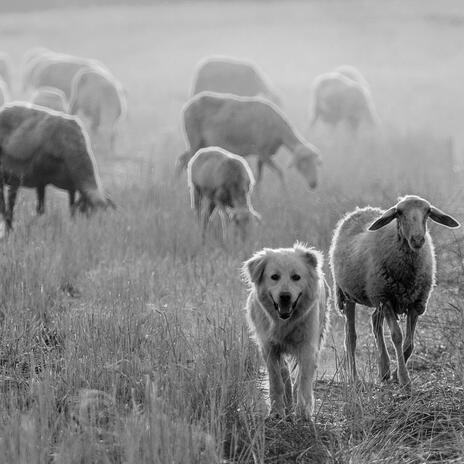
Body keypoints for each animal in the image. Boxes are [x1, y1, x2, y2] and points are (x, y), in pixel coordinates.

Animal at [176, 91, 320, 189]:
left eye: (315, 163)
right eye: (302, 164)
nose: (313, 184)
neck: (278, 131)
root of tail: (186, 108)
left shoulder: (262, 154)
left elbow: (259, 177)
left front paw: (259, 198)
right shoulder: (263, 150)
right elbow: (280, 172)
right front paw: (286, 196)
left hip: (201, 143)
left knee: (182, 159)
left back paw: (174, 188)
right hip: (194, 138)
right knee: (188, 162)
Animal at [243, 243, 330, 420]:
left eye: (296, 277)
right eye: (274, 276)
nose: (285, 296)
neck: (285, 322)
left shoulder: (308, 346)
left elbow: (304, 379)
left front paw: (304, 411)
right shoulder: (268, 347)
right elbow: (276, 380)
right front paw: (276, 411)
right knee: (284, 370)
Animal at [330, 194, 460, 386]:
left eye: (428, 211)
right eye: (399, 212)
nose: (417, 240)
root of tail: (361, 210)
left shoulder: (415, 302)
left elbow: (409, 344)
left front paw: (395, 374)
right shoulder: (387, 300)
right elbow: (397, 336)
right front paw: (404, 379)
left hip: (376, 296)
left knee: (375, 321)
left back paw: (384, 370)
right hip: (349, 295)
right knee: (350, 337)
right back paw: (354, 377)